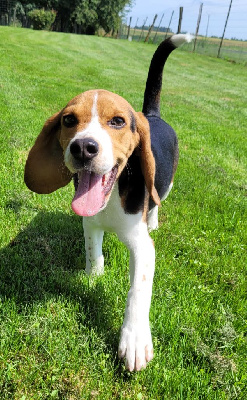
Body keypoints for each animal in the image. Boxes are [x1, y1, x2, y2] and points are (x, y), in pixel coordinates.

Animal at [23, 32, 193, 370]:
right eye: (68, 120)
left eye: (117, 121)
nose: (83, 148)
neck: (112, 196)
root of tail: (150, 116)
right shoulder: (90, 223)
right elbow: (94, 252)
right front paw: (93, 278)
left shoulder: (142, 247)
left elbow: (138, 289)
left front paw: (135, 338)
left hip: (166, 185)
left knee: (158, 200)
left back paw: (154, 219)